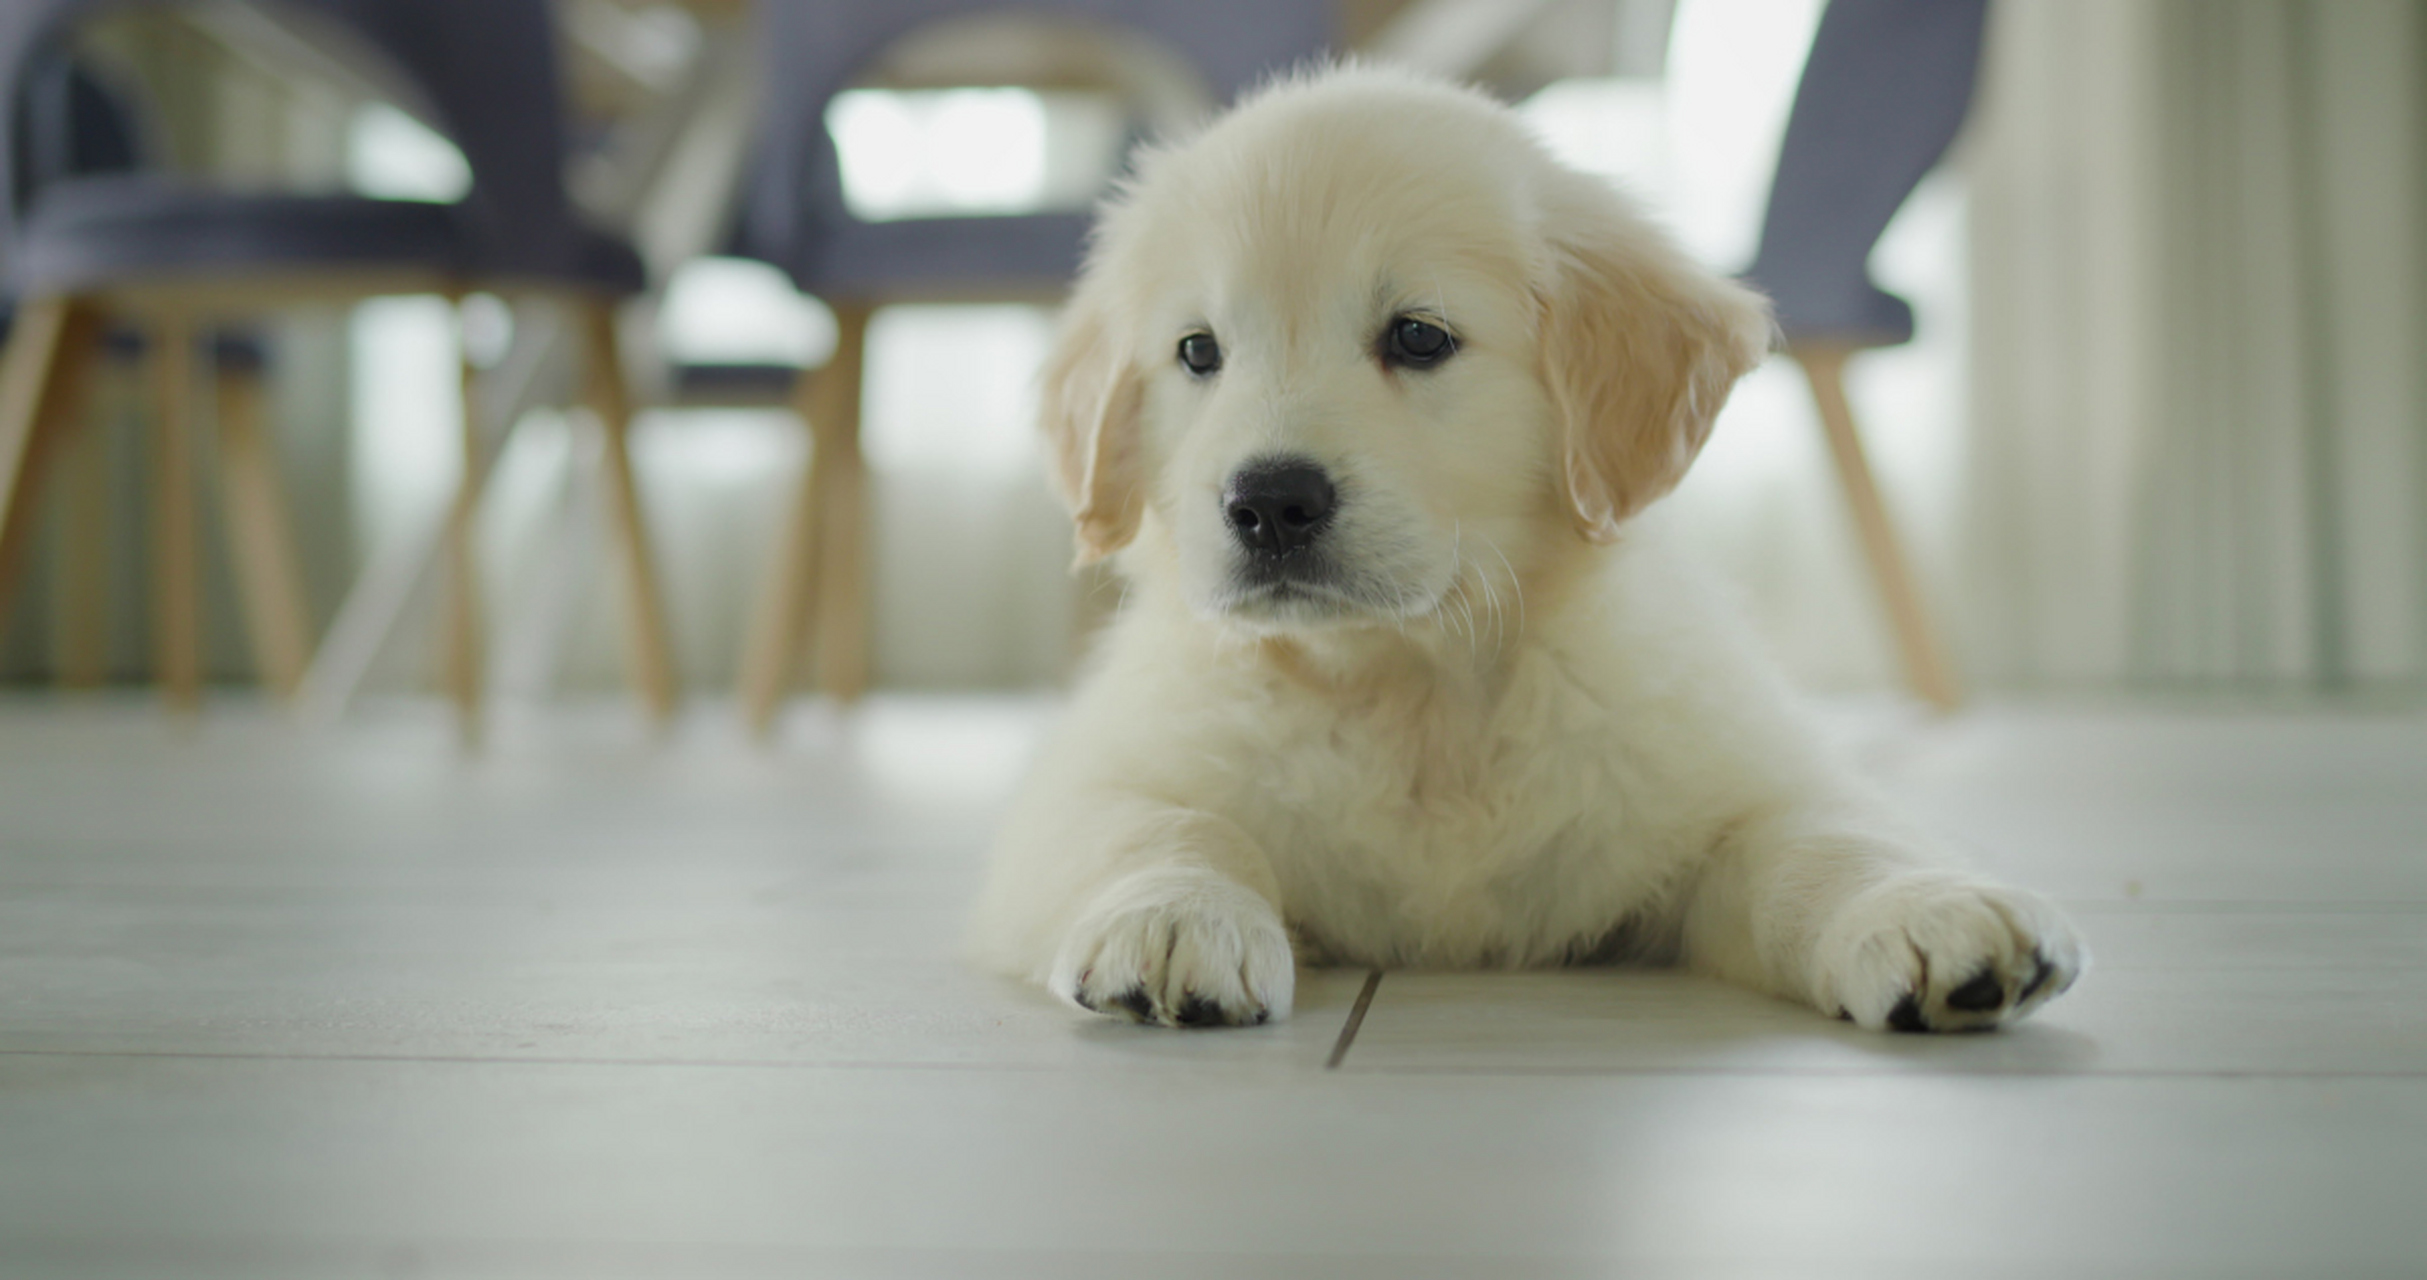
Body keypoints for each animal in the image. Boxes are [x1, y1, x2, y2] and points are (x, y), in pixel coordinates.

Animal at [965, 64, 2087, 1034]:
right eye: (1198, 351)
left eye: (1418, 337)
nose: (1269, 503)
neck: (1415, 691)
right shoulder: (1102, 772)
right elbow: (1161, 823)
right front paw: (1174, 917)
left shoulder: (1723, 774)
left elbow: (1823, 835)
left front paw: (1929, 909)